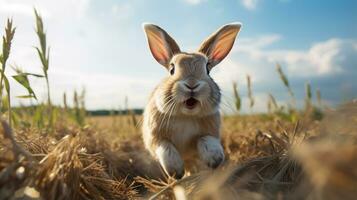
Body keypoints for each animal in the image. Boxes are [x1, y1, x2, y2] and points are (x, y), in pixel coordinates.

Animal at [140, 22, 241, 179]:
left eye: (207, 69)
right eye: (172, 69)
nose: (192, 84)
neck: (185, 116)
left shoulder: (209, 133)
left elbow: (205, 140)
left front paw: (215, 159)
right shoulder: (156, 138)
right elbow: (166, 148)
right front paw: (175, 171)